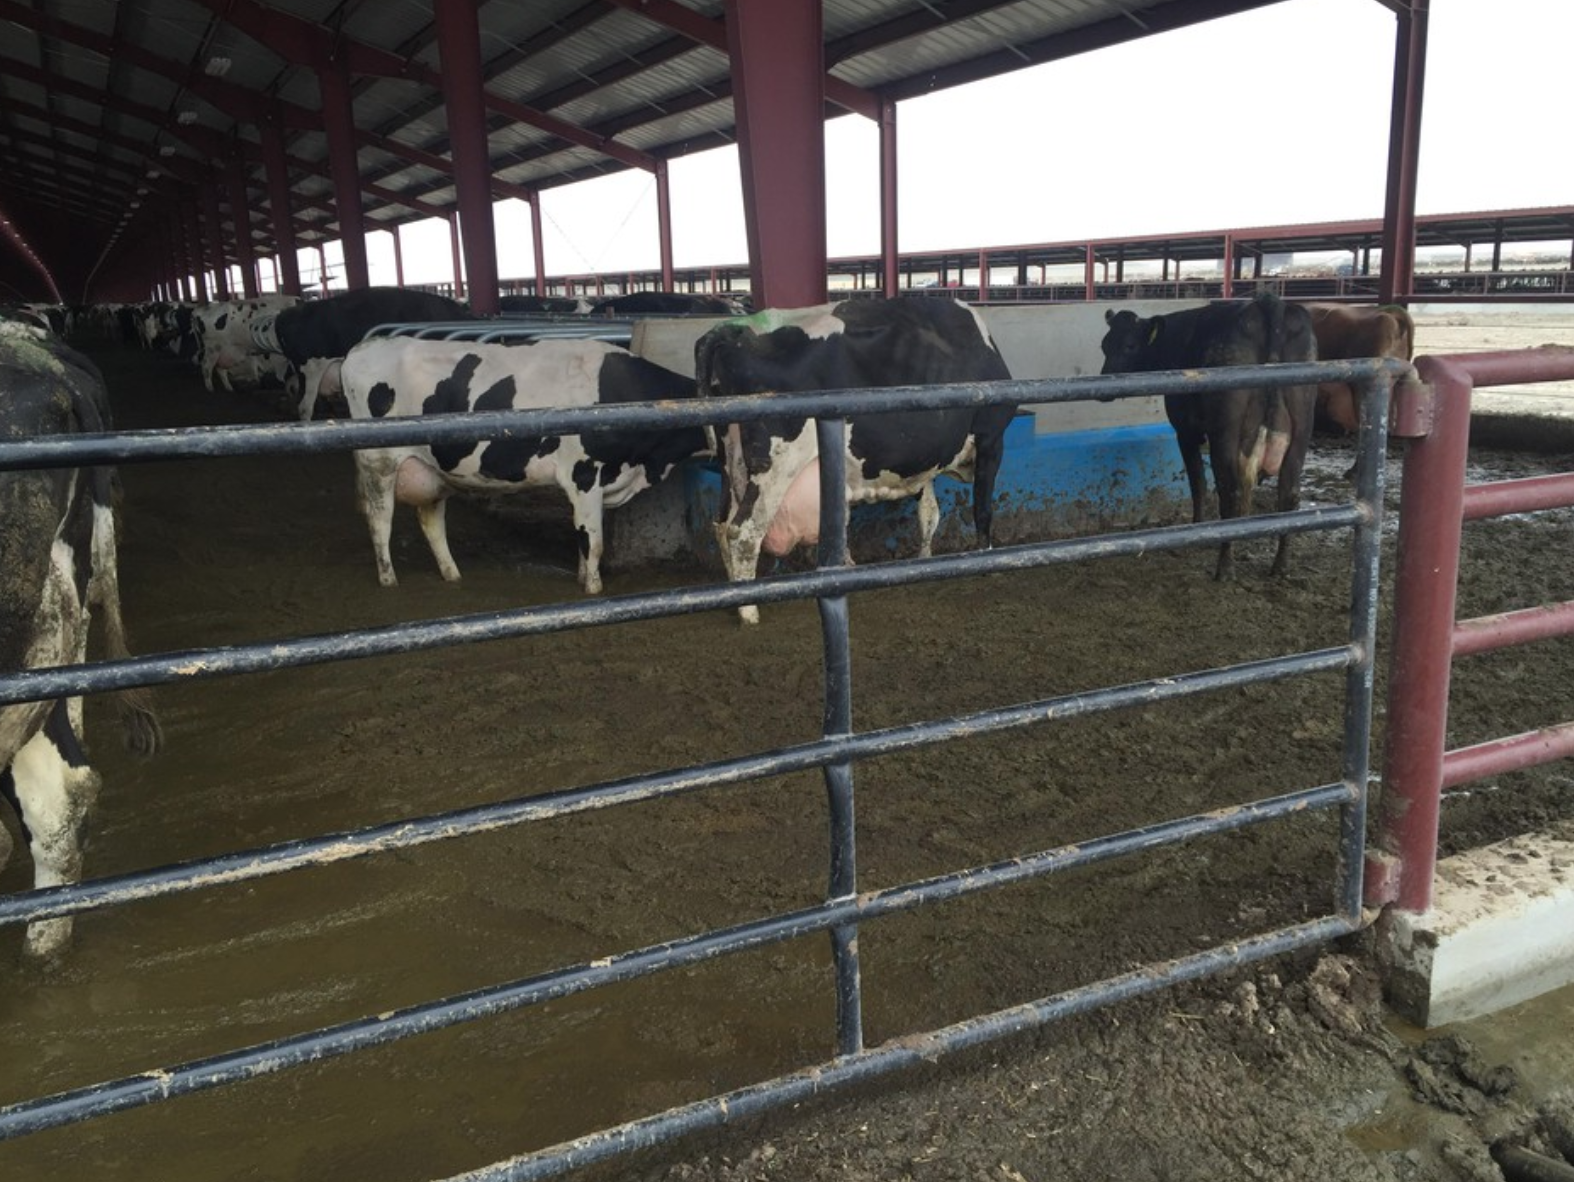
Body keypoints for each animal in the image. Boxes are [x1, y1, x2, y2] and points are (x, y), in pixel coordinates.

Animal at [338, 337, 707, 593]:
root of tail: (364, 347)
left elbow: (583, 536)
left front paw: (582, 577)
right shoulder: (584, 474)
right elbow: (593, 541)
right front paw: (593, 588)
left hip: (431, 470)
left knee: (431, 522)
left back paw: (452, 574)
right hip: (379, 464)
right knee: (380, 521)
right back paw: (389, 579)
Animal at [693, 297, 1016, 624]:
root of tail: (735, 330)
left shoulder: (925, 460)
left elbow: (929, 514)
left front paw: (924, 561)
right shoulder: (992, 436)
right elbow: (982, 509)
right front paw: (989, 562)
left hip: (730, 460)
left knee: (722, 525)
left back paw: (736, 595)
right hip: (776, 465)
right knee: (743, 532)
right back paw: (749, 611)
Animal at [1099, 291, 1318, 580]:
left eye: (1130, 346)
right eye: (1104, 345)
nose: (1104, 385)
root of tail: (1268, 302)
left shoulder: (1186, 431)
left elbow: (1198, 483)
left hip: (1226, 431)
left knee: (1231, 492)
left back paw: (1225, 566)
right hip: (1301, 426)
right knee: (1289, 495)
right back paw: (1280, 566)